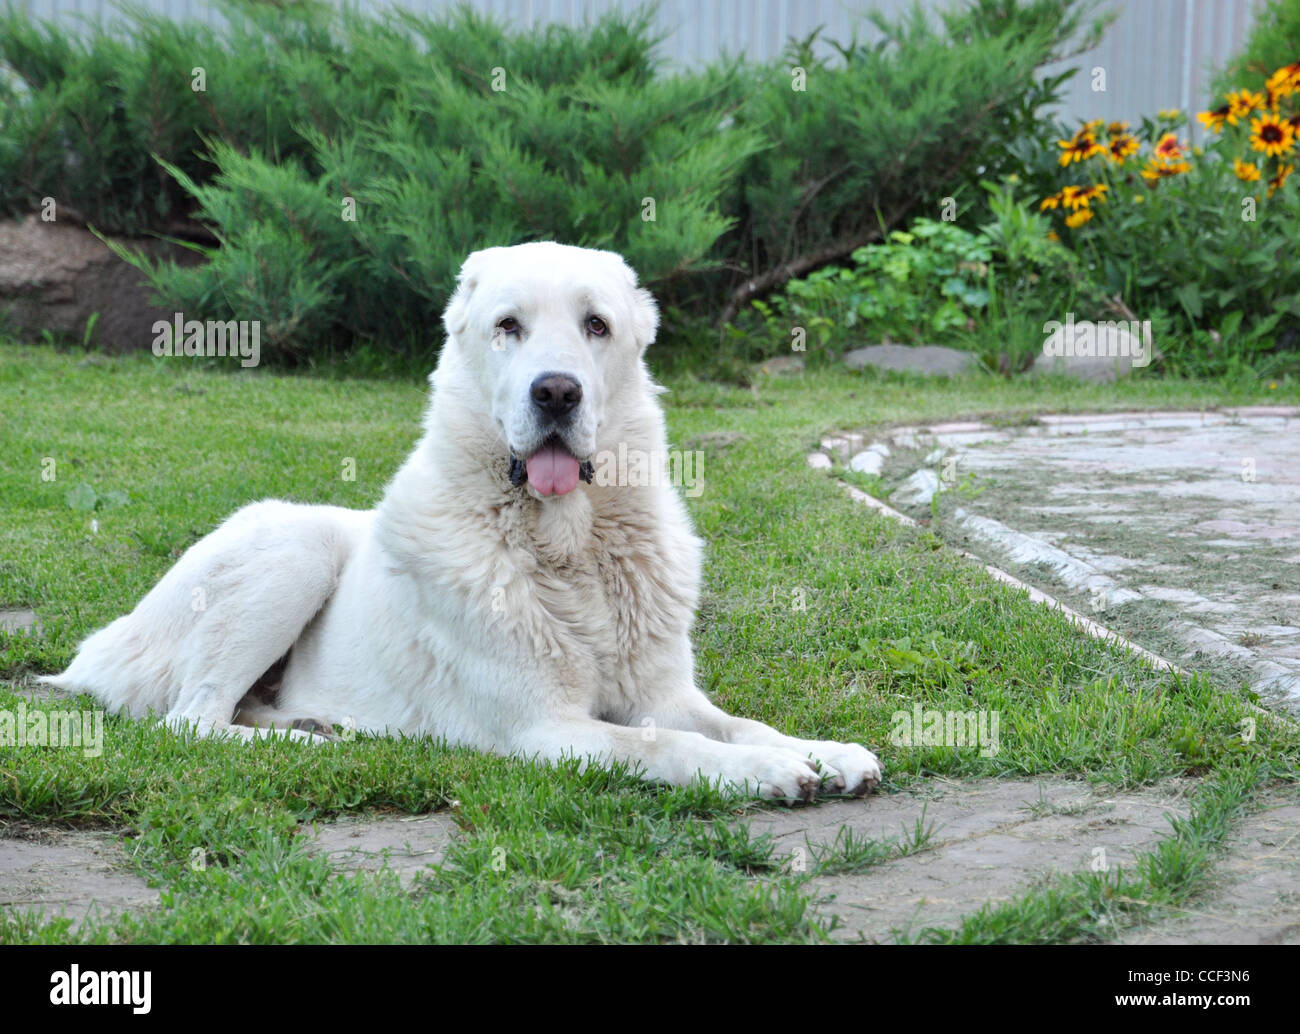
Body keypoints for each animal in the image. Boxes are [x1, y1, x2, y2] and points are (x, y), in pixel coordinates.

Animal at [43, 240, 883, 801]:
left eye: (597, 326)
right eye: (508, 325)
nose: (557, 392)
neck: (567, 543)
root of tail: (100, 644)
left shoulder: (666, 692)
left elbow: (733, 722)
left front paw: (823, 751)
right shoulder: (548, 729)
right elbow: (666, 745)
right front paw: (765, 771)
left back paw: (312, 727)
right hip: (293, 546)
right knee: (192, 721)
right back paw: (319, 748)